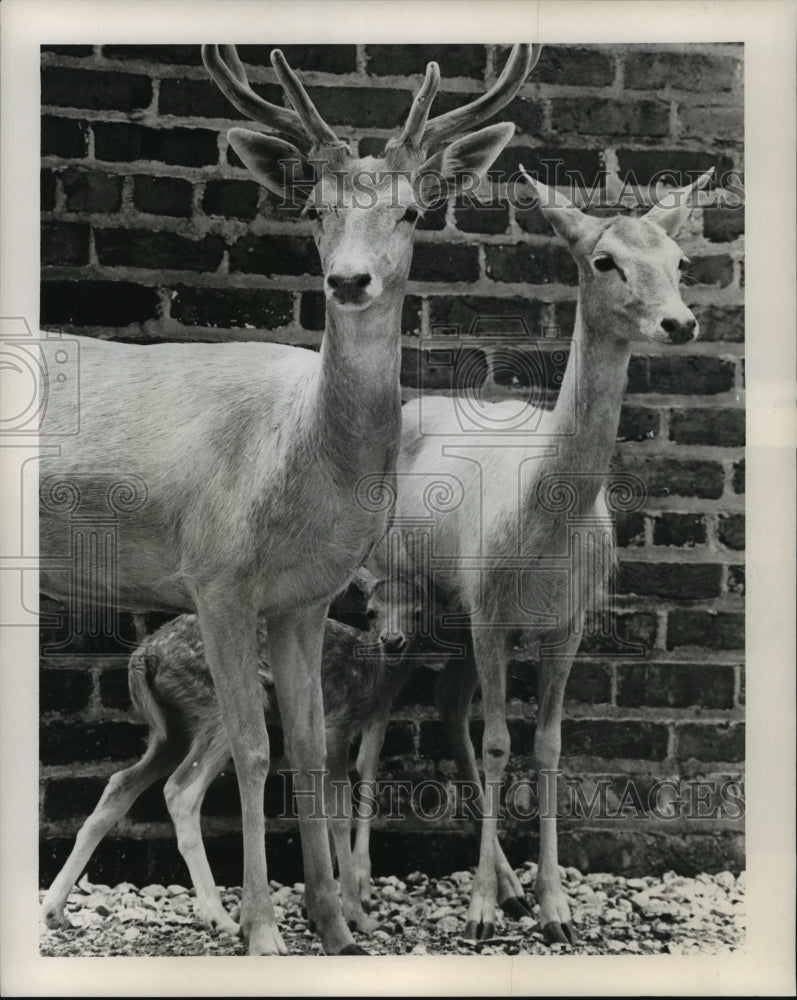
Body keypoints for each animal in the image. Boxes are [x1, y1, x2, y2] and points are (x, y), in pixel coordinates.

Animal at [40, 569, 425, 940]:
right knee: (180, 790)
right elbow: (338, 813)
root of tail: (143, 656)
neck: (374, 679)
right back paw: (220, 918)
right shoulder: (337, 724)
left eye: (418, 613)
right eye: (370, 612)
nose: (392, 641)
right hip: (215, 710)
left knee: (121, 782)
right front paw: (356, 915)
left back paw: (54, 910)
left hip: (173, 729)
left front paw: (331, 906)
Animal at [362, 165, 715, 945]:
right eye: (604, 260)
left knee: (447, 703)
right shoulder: (493, 613)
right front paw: (478, 912)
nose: (679, 322)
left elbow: (549, 745)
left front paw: (555, 908)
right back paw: (376, 883)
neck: (545, 529)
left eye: (680, 262)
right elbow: (499, 742)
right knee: (411, 710)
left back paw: (509, 884)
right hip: (407, 595)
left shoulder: (568, 625)